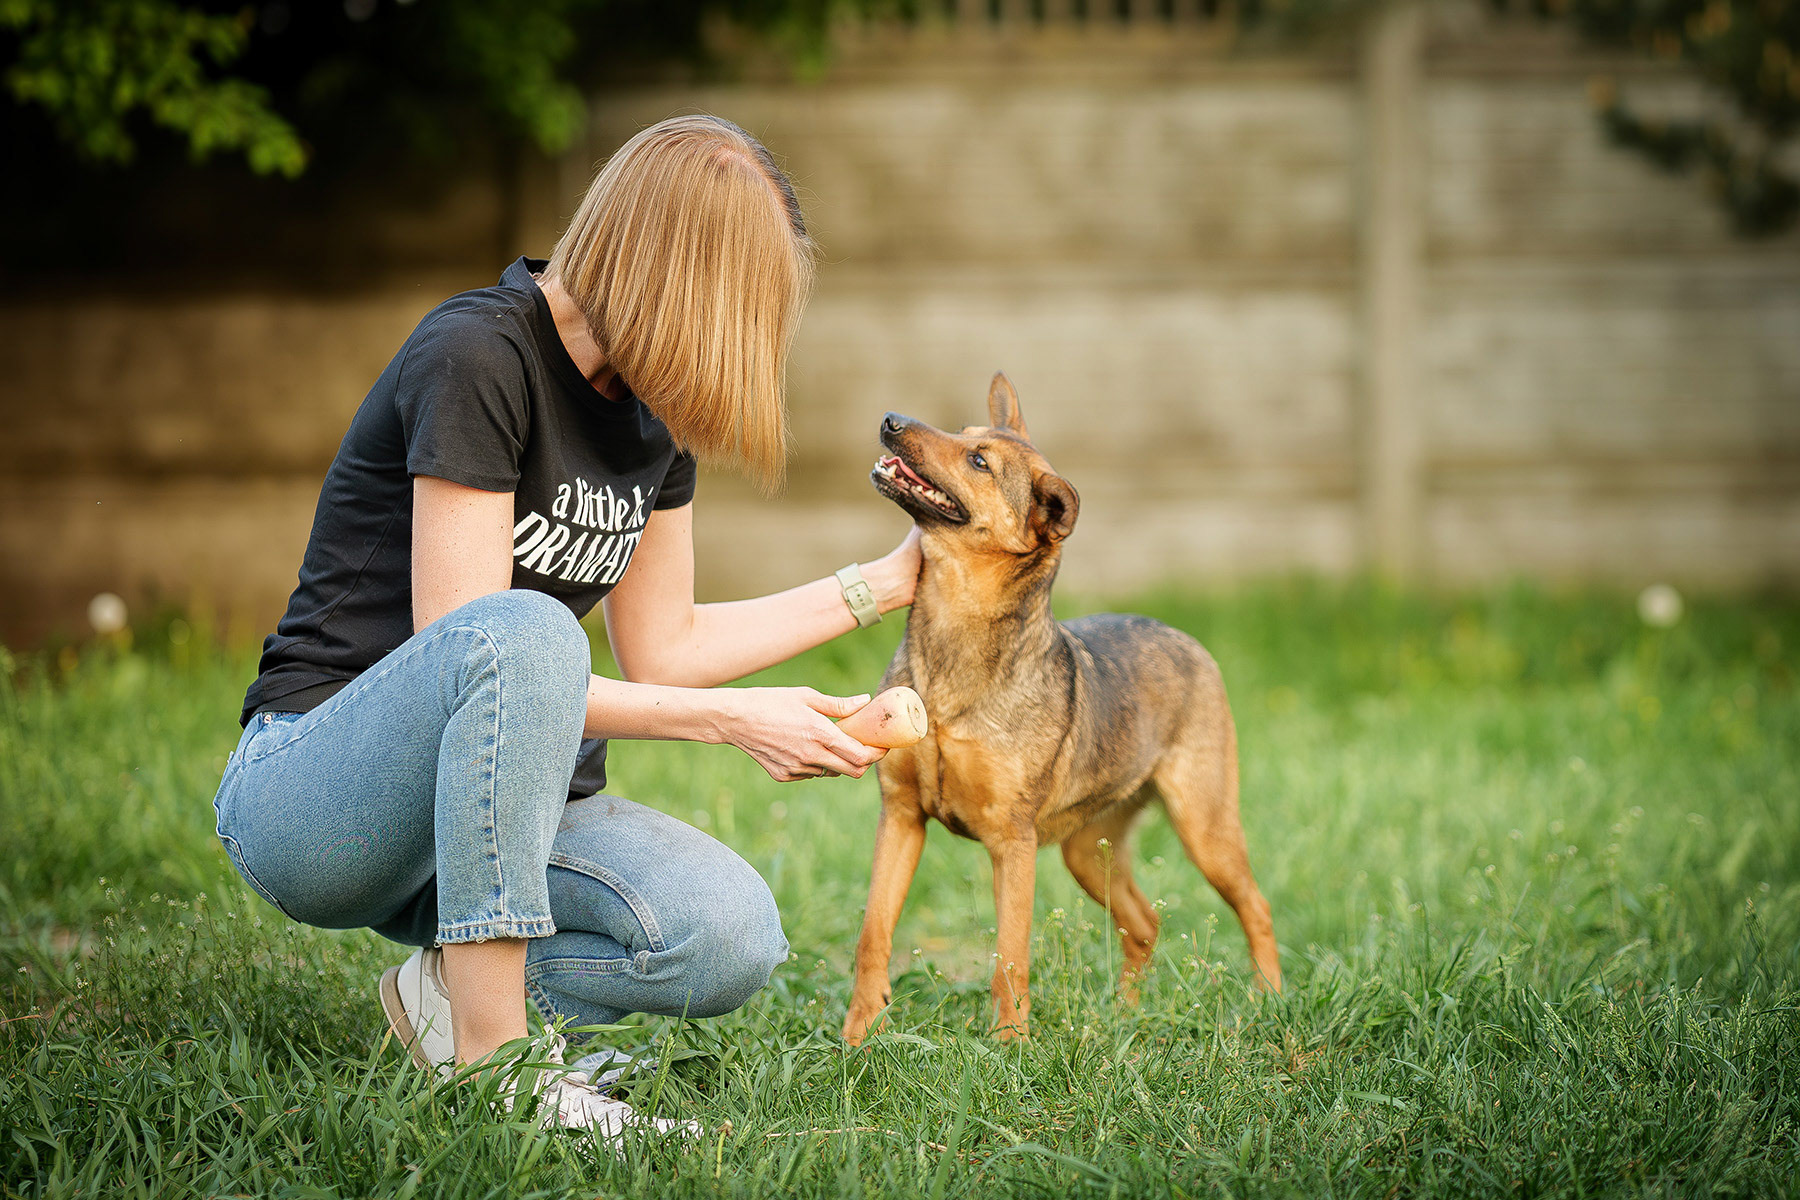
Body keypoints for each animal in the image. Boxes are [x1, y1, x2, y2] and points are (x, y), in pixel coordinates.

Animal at [842, 373, 1281, 1044]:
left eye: (979, 462)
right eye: (965, 433)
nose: (891, 419)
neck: (952, 642)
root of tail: (1184, 637)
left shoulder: (1012, 844)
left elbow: (1010, 958)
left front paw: (1009, 1047)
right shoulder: (901, 818)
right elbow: (874, 934)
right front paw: (857, 1037)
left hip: (1206, 827)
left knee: (1255, 907)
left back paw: (1269, 1001)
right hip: (1088, 850)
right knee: (1144, 925)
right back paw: (1126, 1016)